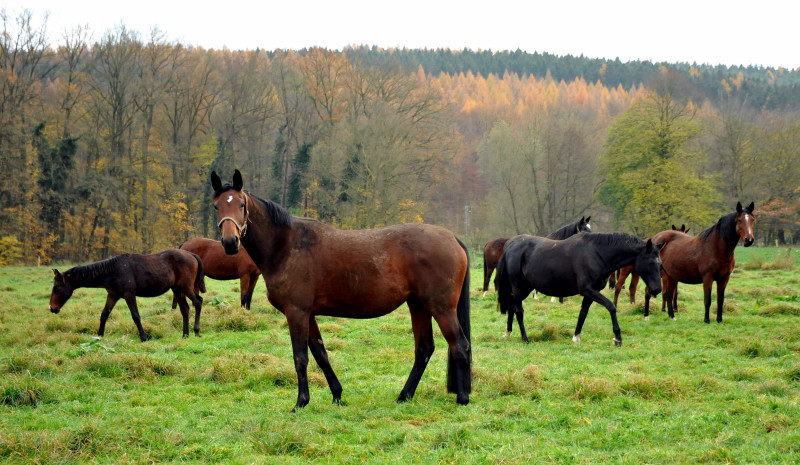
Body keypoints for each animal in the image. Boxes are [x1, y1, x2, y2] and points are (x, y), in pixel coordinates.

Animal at [49, 250, 206, 340]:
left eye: (57, 286)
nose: (52, 307)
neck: (112, 271)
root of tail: (191, 255)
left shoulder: (129, 295)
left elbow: (136, 316)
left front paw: (144, 337)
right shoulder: (112, 295)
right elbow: (104, 315)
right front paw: (99, 336)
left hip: (185, 287)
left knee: (198, 302)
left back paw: (196, 331)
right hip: (177, 290)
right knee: (185, 309)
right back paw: (185, 335)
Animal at [494, 232, 664, 344]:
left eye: (660, 263)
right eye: (651, 262)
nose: (657, 289)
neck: (597, 253)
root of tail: (511, 245)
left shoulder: (591, 292)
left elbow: (583, 313)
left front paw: (576, 337)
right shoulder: (587, 289)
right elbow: (611, 306)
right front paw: (617, 337)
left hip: (525, 288)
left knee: (511, 306)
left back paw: (508, 332)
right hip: (518, 287)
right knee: (518, 310)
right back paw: (525, 338)